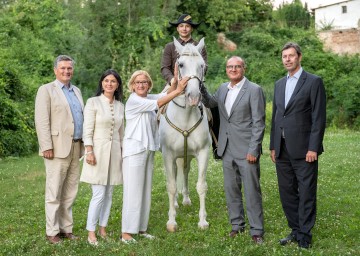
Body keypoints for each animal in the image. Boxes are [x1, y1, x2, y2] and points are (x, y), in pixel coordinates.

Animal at [160, 37, 212, 232]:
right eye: (180, 64)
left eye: (202, 65)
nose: (194, 96)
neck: (186, 116)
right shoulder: (168, 154)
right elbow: (171, 186)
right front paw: (171, 221)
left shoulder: (203, 152)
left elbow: (201, 186)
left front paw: (203, 221)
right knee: (175, 174)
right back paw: (175, 203)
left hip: (186, 156)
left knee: (185, 171)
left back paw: (186, 199)